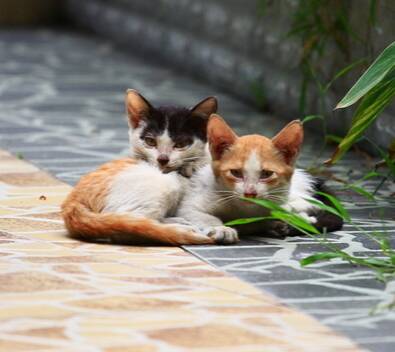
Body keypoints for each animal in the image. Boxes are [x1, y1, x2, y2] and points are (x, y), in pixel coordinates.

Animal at [61, 91, 220, 245]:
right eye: (150, 141)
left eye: (180, 144)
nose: (163, 159)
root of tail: (72, 201)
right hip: (164, 183)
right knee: (127, 226)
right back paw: (178, 226)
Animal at [178, 114, 344, 243]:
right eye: (236, 172)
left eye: (266, 174)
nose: (250, 193)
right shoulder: (191, 203)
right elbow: (199, 214)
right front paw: (221, 229)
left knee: (312, 203)